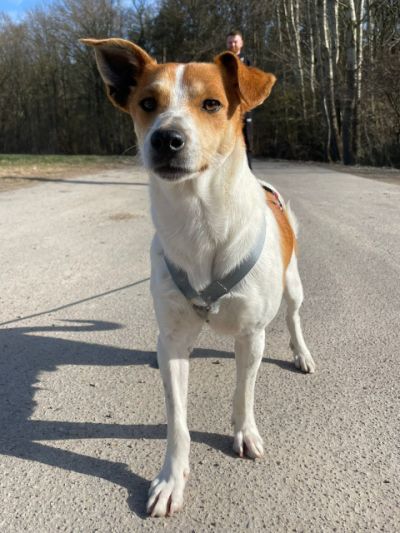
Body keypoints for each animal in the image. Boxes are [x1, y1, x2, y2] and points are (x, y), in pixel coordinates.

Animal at [81, 38, 316, 517]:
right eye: (147, 104)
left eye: (212, 104)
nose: (166, 139)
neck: (200, 221)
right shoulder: (173, 340)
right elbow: (177, 421)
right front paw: (171, 479)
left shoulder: (251, 334)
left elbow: (244, 393)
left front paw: (244, 433)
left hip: (293, 285)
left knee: (293, 318)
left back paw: (301, 353)